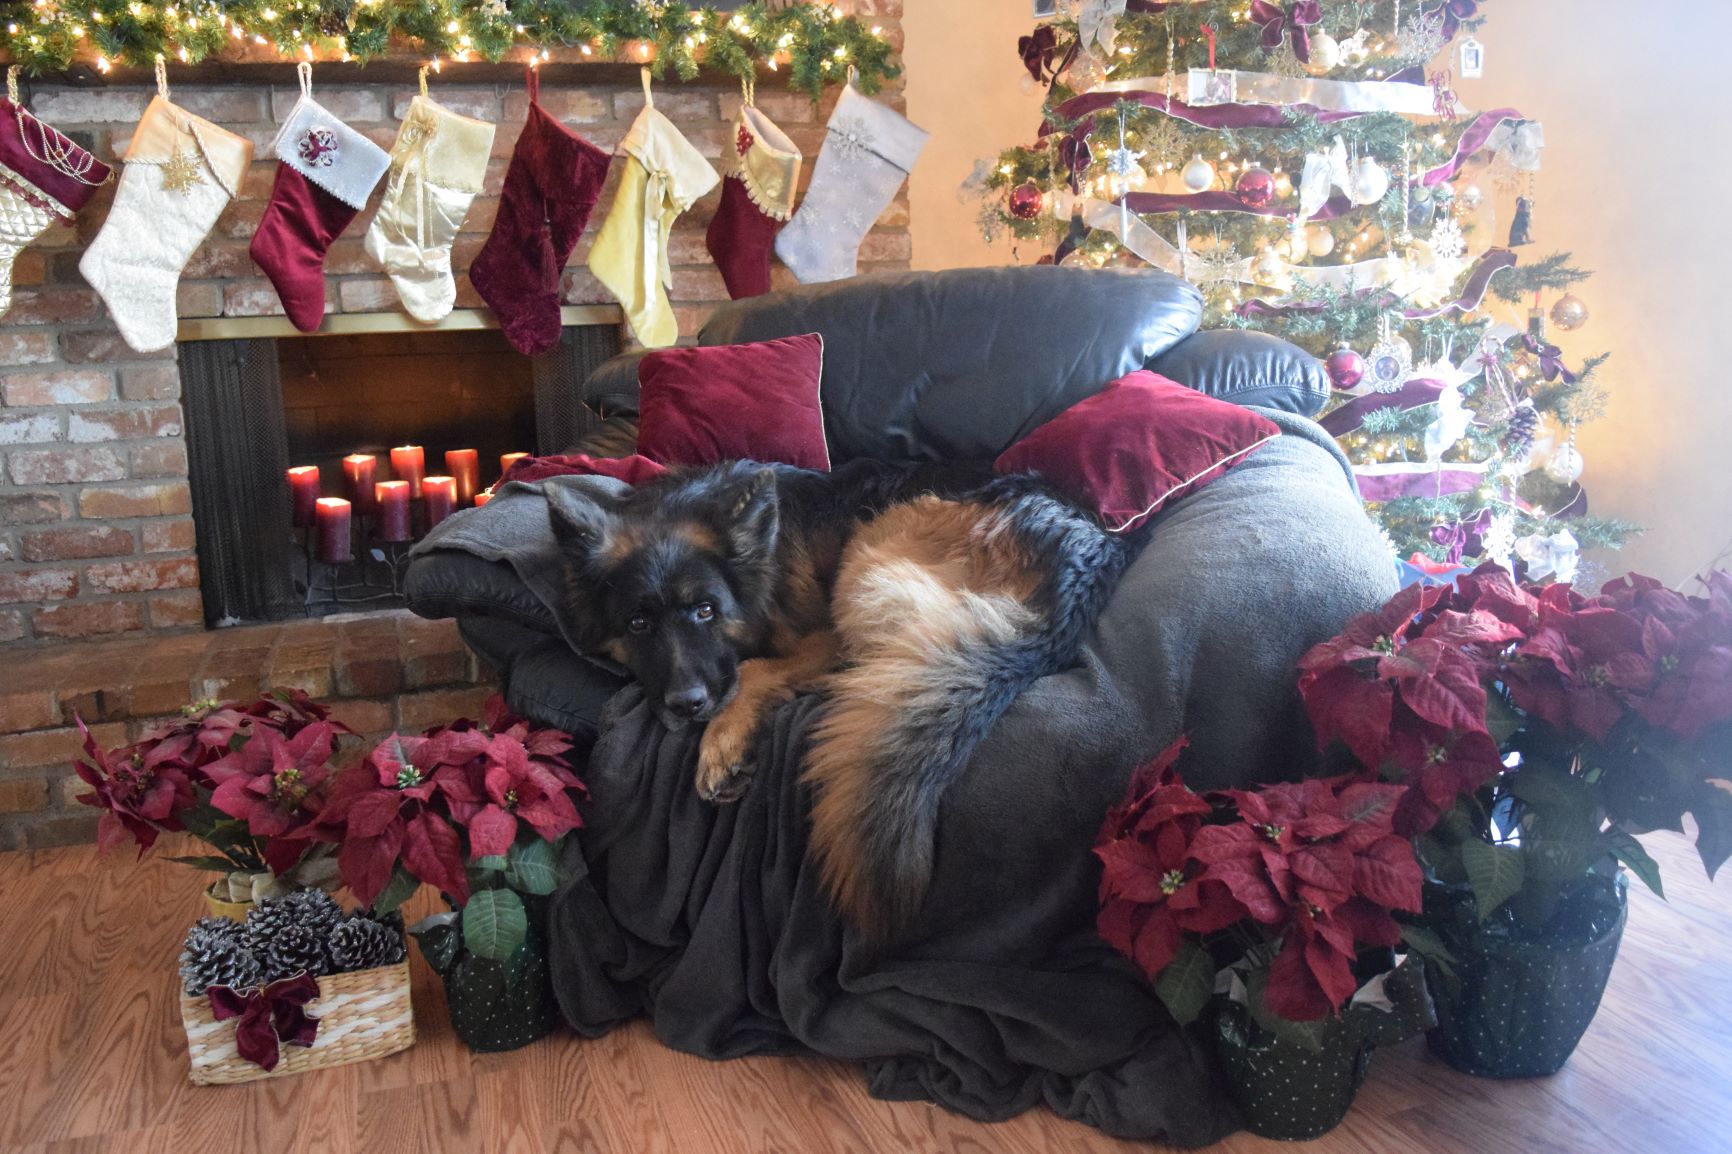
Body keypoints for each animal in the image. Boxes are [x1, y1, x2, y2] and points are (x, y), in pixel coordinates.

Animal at [547, 457, 1129, 935]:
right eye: (638, 624)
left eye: (706, 611)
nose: (688, 705)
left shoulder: (820, 634)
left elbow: (753, 669)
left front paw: (723, 741)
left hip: (869, 559)